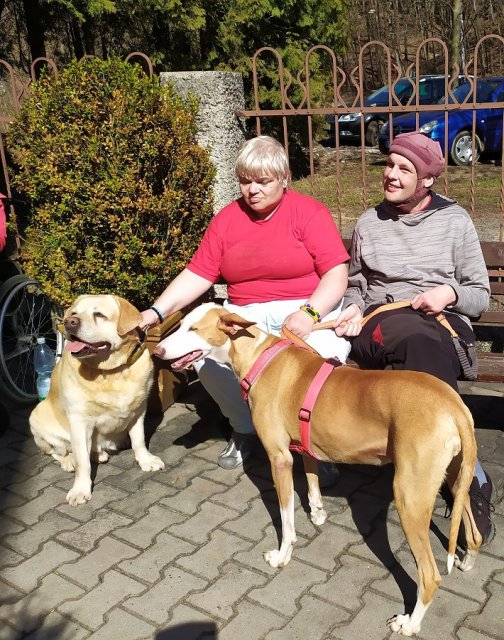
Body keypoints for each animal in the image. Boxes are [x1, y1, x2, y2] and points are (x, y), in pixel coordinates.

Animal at [30, 294, 164, 506]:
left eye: (99, 315)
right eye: (74, 313)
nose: (69, 322)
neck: (110, 372)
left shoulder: (139, 410)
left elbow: (139, 440)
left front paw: (146, 460)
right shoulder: (79, 421)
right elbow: (82, 462)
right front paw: (80, 489)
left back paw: (100, 452)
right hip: (36, 416)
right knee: (58, 451)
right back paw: (69, 461)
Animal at [154, 302, 481, 636]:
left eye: (193, 329)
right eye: (181, 324)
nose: (157, 350)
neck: (260, 356)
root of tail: (454, 405)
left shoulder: (280, 459)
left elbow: (286, 520)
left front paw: (282, 555)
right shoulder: (305, 445)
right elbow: (312, 480)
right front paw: (318, 512)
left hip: (409, 497)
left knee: (430, 575)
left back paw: (410, 623)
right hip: (456, 478)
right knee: (472, 527)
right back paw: (468, 559)